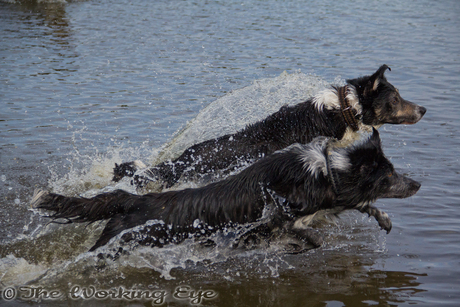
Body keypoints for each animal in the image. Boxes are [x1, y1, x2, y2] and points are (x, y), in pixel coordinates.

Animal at [32, 129, 420, 254]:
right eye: (389, 176)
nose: (417, 184)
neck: (326, 173)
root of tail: (133, 200)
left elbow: (358, 205)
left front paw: (382, 217)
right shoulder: (280, 214)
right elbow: (303, 233)